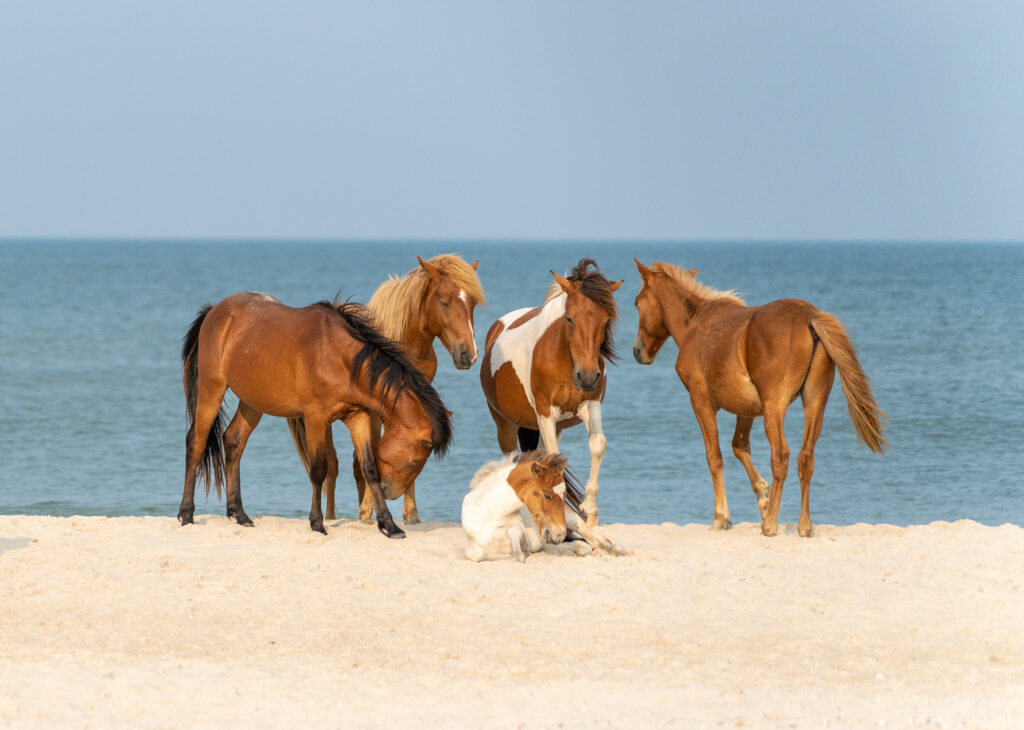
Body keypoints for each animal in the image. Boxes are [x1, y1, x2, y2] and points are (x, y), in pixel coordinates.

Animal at [178, 292, 452, 537]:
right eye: (415, 462)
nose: (389, 492)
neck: (339, 356)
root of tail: (215, 311)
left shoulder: (358, 417)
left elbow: (369, 467)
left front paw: (389, 525)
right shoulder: (316, 419)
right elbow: (319, 469)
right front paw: (317, 523)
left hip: (252, 401)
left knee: (234, 441)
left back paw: (239, 514)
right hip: (212, 389)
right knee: (196, 442)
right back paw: (186, 513)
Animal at [287, 254, 484, 524]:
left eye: (472, 303)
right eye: (444, 302)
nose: (468, 355)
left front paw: (411, 515)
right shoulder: (373, 413)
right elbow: (371, 457)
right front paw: (367, 513)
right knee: (333, 465)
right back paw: (331, 516)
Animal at [481, 258, 627, 555]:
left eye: (605, 320)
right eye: (569, 318)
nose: (587, 377)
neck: (563, 358)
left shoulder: (590, 405)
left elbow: (597, 445)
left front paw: (589, 511)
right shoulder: (545, 413)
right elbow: (552, 462)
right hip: (505, 424)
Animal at [632, 259, 887, 537]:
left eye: (638, 302)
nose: (638, 351)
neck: (697, 322)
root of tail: (810, 317)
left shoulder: (701, 402)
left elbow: (715, 456)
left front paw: (722, 517)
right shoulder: (747, 409)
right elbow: (739, 447)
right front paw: (763, 497)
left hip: (775, 408)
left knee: (781, 457)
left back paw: (771, 525)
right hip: (814, 403)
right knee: (806, 458)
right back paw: (804, 526)